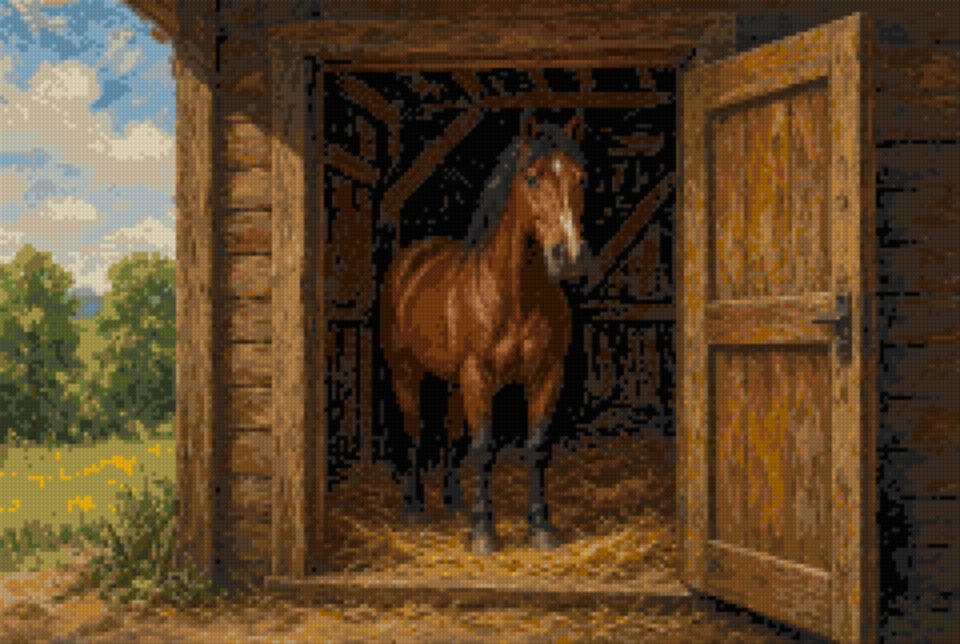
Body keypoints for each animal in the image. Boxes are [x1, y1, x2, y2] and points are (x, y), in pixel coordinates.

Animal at [379, 111, 588, 555]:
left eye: (580, 178)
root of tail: (409, 261)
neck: (514, 294)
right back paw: (414, 509)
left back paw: (455, 503)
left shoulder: (546, 375)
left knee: (450, 434)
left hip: (456, 383)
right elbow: (483, 447)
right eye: (532, 177)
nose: (570, 256)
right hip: (407, 373)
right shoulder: (478, 376)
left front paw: (540, 527)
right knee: (415, 433)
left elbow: (535, 446)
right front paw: (483, 532)